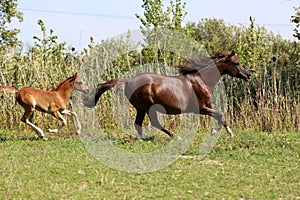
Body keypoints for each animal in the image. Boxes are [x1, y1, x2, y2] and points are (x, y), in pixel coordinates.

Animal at [83, 50, 250, 138]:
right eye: (236, 63)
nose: (248, 75)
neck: (201, 81)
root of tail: (128, 80)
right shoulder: (201, 108)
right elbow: (220, 114)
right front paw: (222, 132)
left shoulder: (207, 106)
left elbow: (220, 115)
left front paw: (226, 132)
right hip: (147, 107)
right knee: (152, 123)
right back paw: (174, 136)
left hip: (141, 108)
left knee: (138, 124)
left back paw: (146, 138)